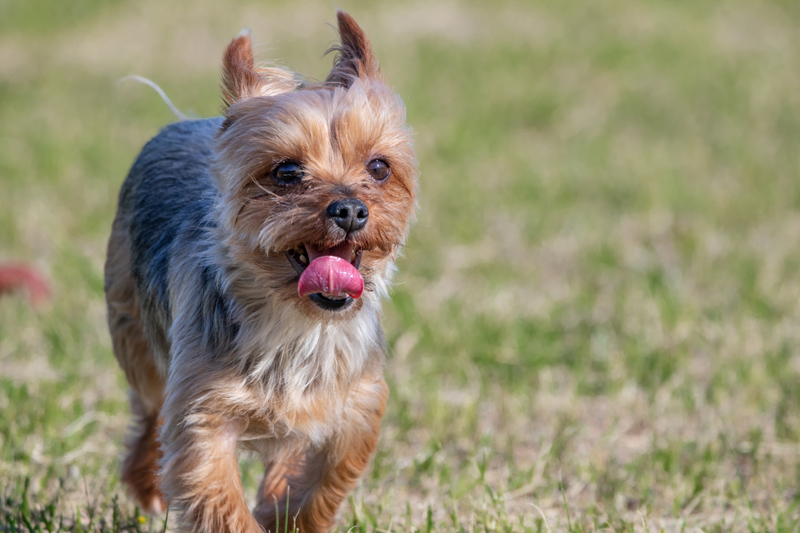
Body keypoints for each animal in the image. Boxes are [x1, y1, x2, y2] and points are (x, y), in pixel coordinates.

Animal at [104, 10, 418, 528]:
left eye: (379, 167)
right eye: (287, 172)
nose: (351, 210)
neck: (300, 324)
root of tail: (188, 122)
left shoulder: (356, 404)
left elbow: (325, 479)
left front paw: (286, 517)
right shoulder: (202, 413)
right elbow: (219, 497)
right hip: (137, 336)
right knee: (149, 409)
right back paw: (147, 486)